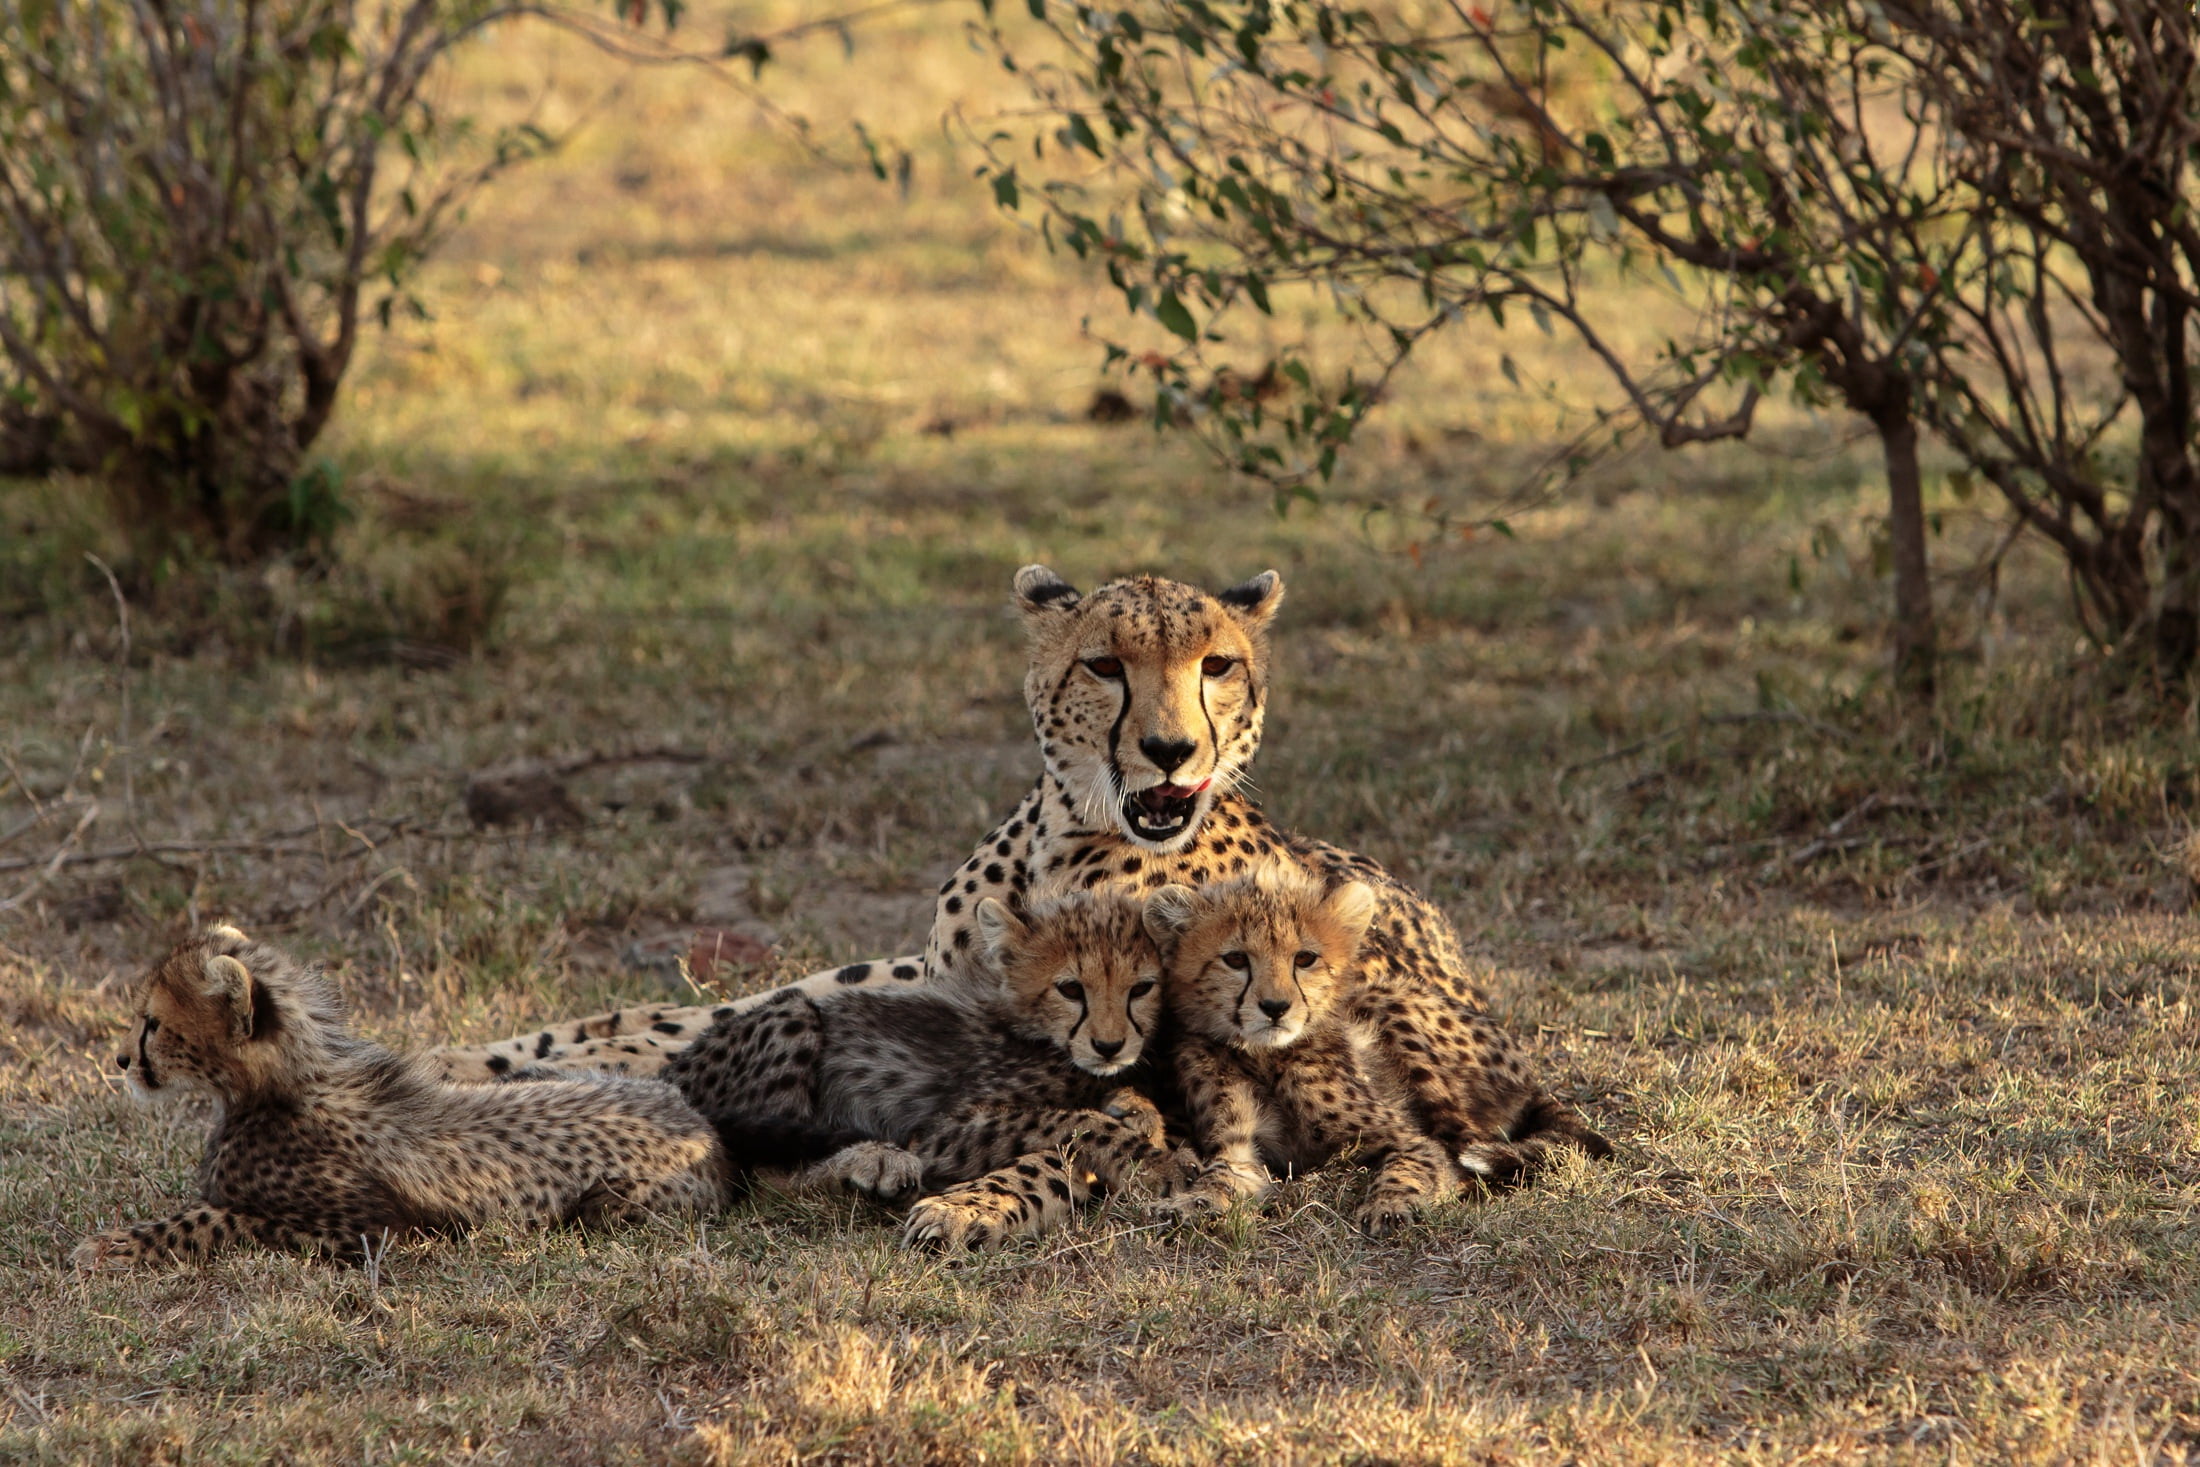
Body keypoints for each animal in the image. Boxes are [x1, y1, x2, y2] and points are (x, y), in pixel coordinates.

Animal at [72, 927, 728, 1270]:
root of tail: (701, 1126)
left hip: (611, 1206)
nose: (121, 1060)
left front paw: (113, 1244)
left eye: (152, 1023)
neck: (289, 1087)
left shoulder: (373, 1230)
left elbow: (217, 1218)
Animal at [426, 564, 1609, 1186]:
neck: (1066, 826)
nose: (1172, 751)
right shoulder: (927, 986)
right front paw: (473, 1063)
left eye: (1218, 665)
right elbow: (653, 1021)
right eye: (1105, 665)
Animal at [660, 890, 1195, 1249]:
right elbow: (1075, 1120)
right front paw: (1157, 1161)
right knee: (767, 1175)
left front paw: (1137, 1111)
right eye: (1070, 989)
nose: (1109, 1045)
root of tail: (673, 1074)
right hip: (795, 1015)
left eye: (1141, 988)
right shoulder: (941, 1130)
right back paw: (874, 1164)